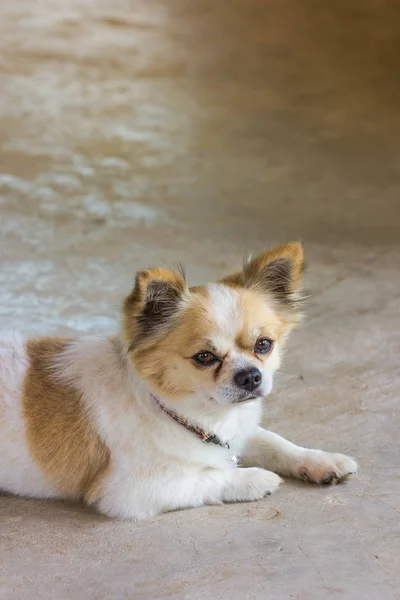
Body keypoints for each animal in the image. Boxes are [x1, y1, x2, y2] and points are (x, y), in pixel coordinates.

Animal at [0, 244, 356, 520]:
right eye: (205, 357)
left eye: (263, 345)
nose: (251, 376)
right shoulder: (135, 491)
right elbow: (212, 477)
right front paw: (254, 479)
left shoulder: (238, 434)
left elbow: (276, 442)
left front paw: (321, 460)